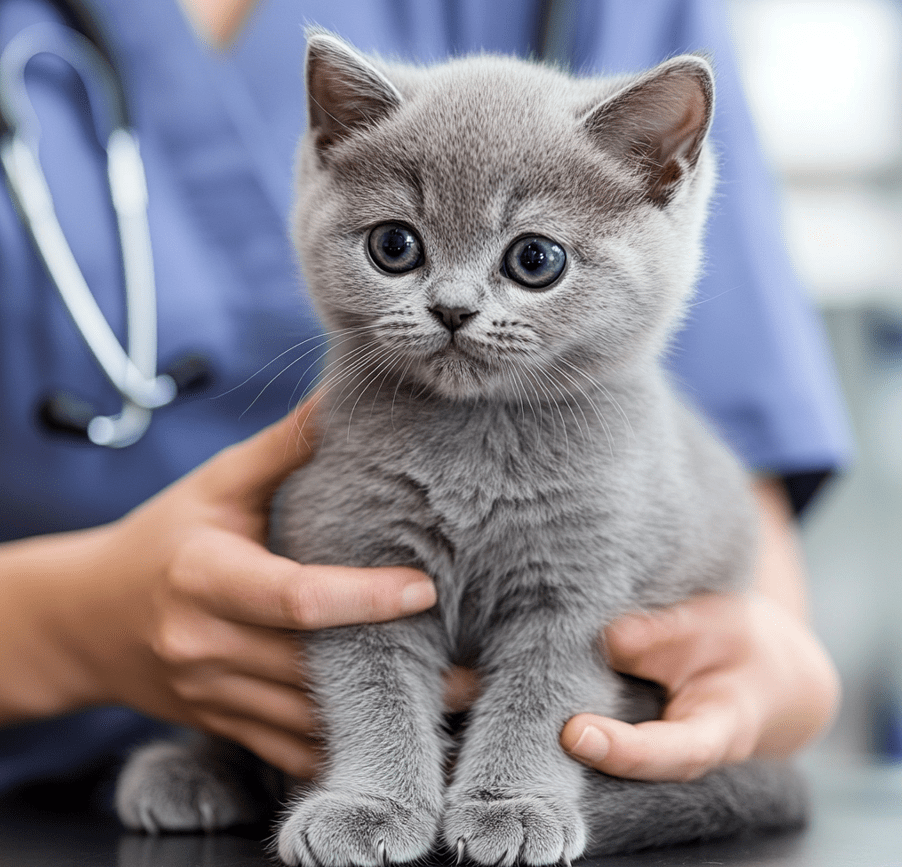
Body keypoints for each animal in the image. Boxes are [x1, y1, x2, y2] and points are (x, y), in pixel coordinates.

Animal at [116, 30, 808, 864]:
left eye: (535, 259)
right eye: (394, 245)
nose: (451, 308)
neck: (474, 446)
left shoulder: (579, 592)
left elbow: (542, 700)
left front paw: (512, 805)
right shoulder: (353, 561)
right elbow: (372, 690)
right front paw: (372, 805)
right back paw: (187, 770)